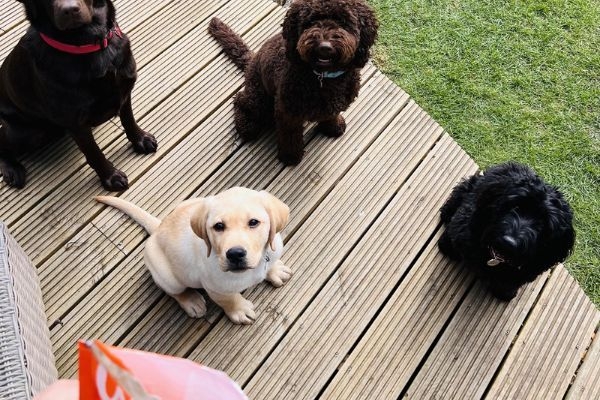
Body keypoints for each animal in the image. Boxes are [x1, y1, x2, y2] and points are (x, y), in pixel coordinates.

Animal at [0, 0, 157, 191]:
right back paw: (12, 169)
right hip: (26, 133)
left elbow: (129, 121)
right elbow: (94, 152)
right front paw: (110, 177)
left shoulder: (124, 91)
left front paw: (141, 140)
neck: (88, 44)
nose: (69, 10)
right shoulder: (76, 124)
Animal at [95, 188, 292, 324]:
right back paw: (191, 301)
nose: (235, 254)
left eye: (253, 222)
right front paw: (239, 310)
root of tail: (158, 228)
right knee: (173, 291)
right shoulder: (216, 287)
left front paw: (275, 270)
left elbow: (270, 262)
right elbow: (229, 299)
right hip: (166, 275)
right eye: (218, 226)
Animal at [209, 0, 378, 164]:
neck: (322, 77)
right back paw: (246, 125)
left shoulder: (334, 105)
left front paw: (334, 126)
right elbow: (290, 136)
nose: (325, 47)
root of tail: (252, 59)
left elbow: (332, 115)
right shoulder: (287, 112)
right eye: (311, 21)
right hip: (258, 97)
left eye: (343, 22)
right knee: (240, 100)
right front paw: (290, 156)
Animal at [438, 162, 576, 300]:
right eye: (516, 206)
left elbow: (509, 282)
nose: (508, 243)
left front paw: (505, 292)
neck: (496, 257)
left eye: (543, 224)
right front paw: (448, 247)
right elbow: (454, 235)